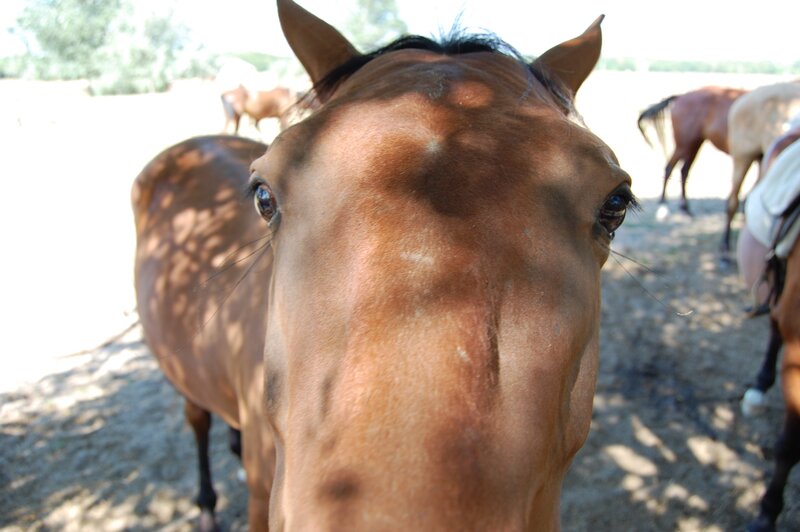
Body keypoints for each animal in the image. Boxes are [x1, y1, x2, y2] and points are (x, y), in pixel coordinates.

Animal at [637, 86, 747, 218]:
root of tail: (680, 96)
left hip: (694, 144)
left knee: (683, 170)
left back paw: (684, 207)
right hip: (684, 144)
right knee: (670, 167)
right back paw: (664, 203)